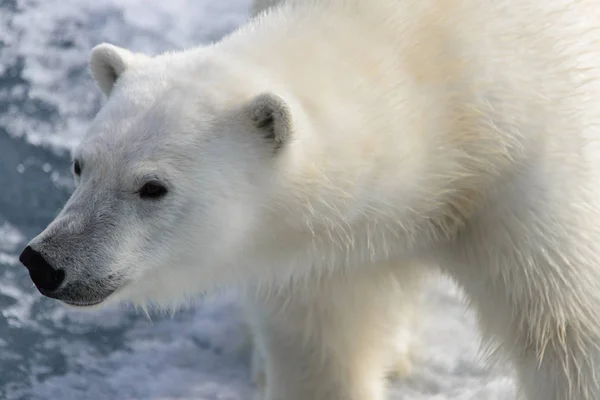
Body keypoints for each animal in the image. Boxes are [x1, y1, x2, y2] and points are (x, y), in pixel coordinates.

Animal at [17, 0, 600, 400]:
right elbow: (324, 352)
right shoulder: (324, 254)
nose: (45, 262)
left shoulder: (530, 178)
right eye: (80, 164)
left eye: (152, 187)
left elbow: (568, 337)